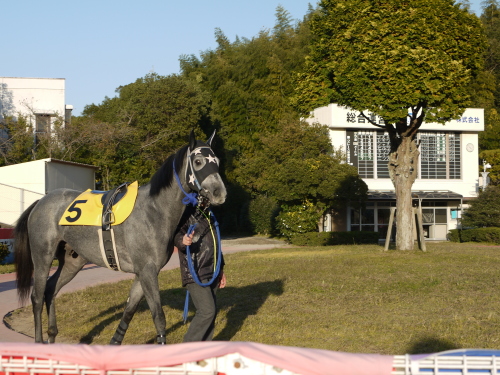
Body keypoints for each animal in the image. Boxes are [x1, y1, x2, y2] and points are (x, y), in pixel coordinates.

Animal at [12, 131, 227, 346]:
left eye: (216, 160)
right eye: (198, 161)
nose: (220, 193)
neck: (154, 210)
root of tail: (41, 201)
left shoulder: (143, 272)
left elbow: (129, 311)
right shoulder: (147, 271)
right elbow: (158, 316)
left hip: (72, 261)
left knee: (51, 290)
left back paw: (52, 335)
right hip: (42, 256)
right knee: (37, 296)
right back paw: (39, 341)